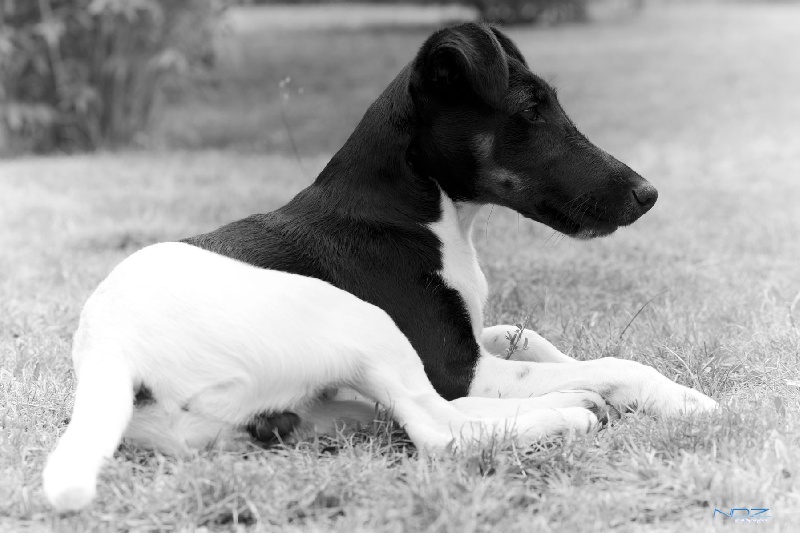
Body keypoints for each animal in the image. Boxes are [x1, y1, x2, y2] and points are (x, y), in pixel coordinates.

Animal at [42, 22, 717, 511]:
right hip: (355, 319)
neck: (417, 211)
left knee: (402, 416)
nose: (648, 194)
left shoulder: (471, 341)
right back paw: (569, 412)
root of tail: (109, 351)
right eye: (530, 110)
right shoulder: (457, 367)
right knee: (439, 431)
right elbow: (614, 363)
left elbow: (536, 341)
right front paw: (686, 400)